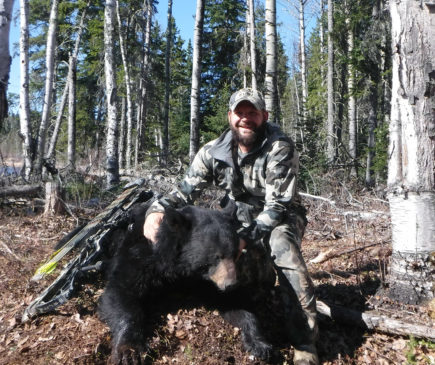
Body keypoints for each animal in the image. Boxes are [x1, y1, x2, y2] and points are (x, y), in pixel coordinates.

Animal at [98, 203, 276, 362]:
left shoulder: (204, 282)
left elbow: (233, 305)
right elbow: (121, 293)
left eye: (235, 254)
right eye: (217, 256)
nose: (231, 284)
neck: (180, 268)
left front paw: (260, 344)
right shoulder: (140, 257)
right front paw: (129, 351)